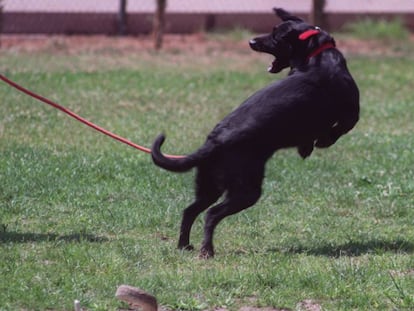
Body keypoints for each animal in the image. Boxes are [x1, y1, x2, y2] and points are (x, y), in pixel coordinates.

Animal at [152, 8, 360, 260]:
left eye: (275, 36)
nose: (251, 41)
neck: (318, 55)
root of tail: (213, 142)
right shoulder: (351, 113)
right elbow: (338, 130)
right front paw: (321, 142)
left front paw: (308, 147)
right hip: (247, 190)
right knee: (211, 214)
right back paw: (207, 250)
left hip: (210, 186)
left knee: (189, 210)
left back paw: (184, 245)